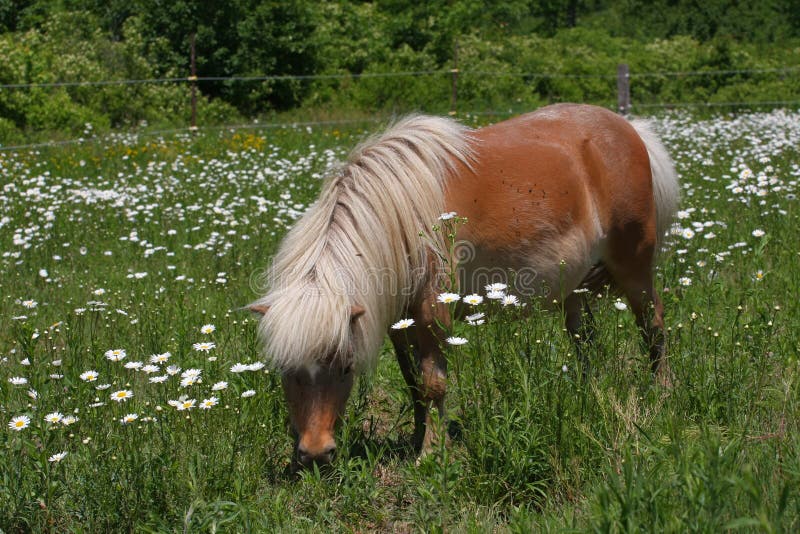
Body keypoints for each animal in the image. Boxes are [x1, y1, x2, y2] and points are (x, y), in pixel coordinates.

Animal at [248, 103, 680, 468]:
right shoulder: (398, 322)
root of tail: (629, 128)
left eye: (345, 367)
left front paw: (432, 453)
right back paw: (586, 393)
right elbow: (412, 383)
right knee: (585, 339)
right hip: (573, 287)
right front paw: (417, 438)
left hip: (634, 266)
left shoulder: (431, 312)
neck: (403, 215)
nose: (314, 455)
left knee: (653, 325)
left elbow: (433, 383)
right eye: (284, 369)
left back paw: (661, 392)